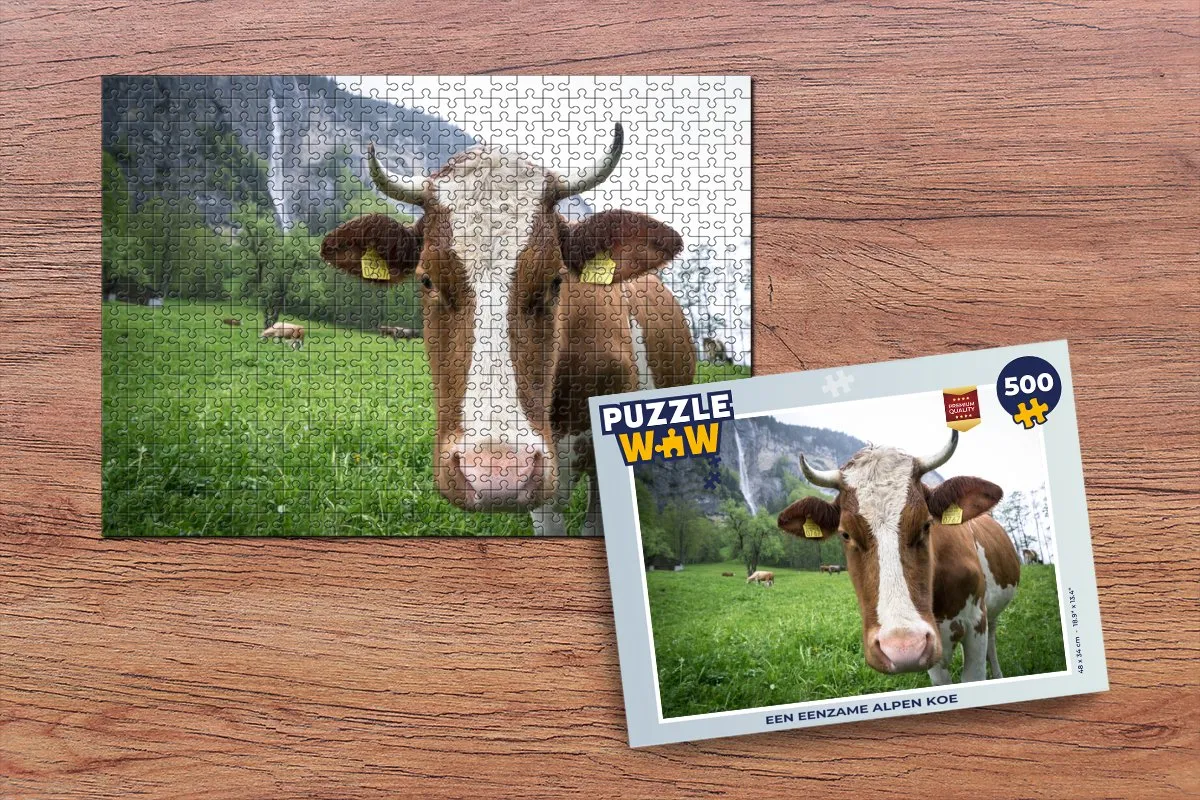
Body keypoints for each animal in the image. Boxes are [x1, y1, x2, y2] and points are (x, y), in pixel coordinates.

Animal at [777, 431, 1020, 685]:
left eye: (926, 524)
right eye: (845, 534)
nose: (904, 648)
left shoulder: (975, 624)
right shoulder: (933, 647)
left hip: (991, 613)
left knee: (992, 639)